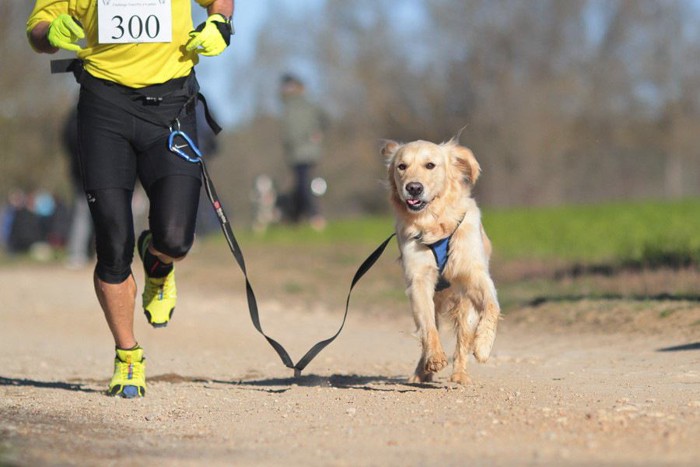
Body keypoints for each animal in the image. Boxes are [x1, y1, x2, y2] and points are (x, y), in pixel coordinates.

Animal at [382, 138, 498, 384]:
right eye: (402, 166)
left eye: (430, 165)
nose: (413, 188)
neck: (433, 221)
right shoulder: (418, 279)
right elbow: (427, 327)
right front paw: (434, 357)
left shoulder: (474, 274)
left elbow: (492, 306)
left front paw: (483, 346)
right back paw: (421, 372)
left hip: (465, 306)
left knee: (463, 340)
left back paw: (460, 375)